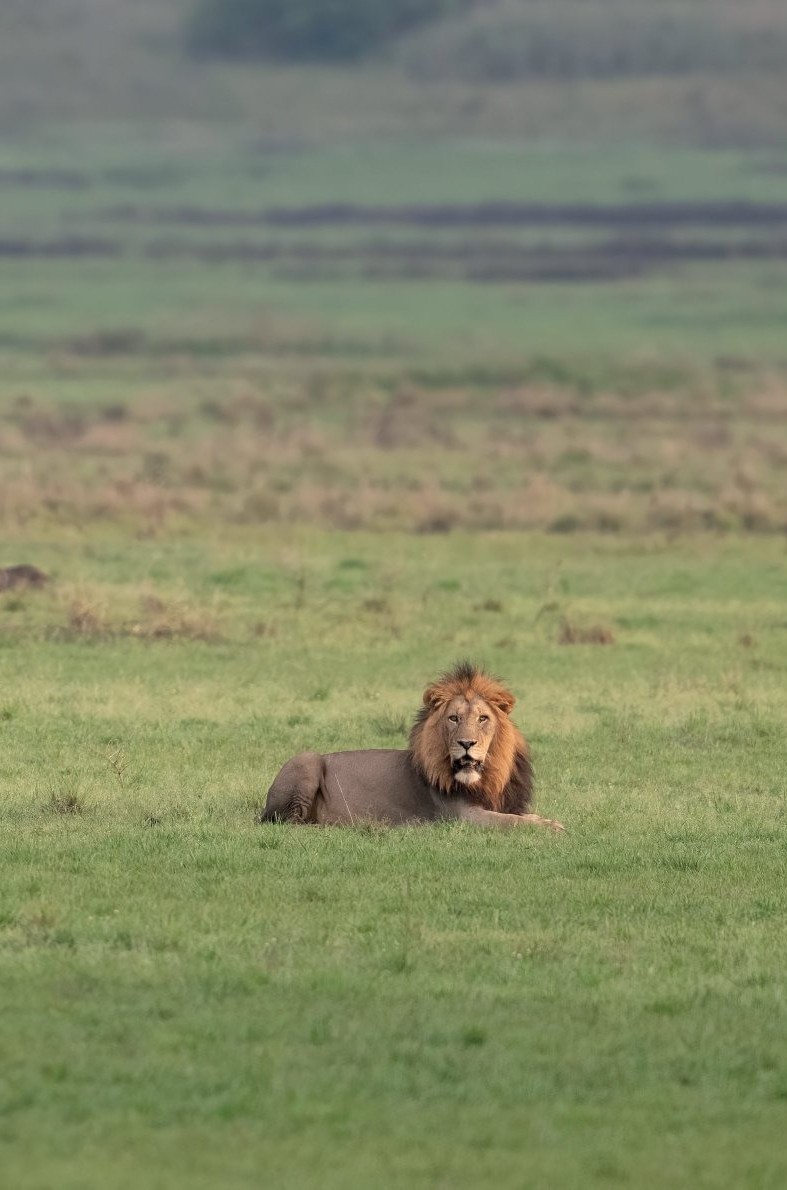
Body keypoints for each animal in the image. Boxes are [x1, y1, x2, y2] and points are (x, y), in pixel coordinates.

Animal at [260, 666, 561, 833]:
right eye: (454, 718)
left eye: (482, 718)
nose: (466, 744)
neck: (487, 777)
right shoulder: (461, 816)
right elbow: (509, 822)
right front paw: (551, 827)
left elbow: (517, 816)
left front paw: (544, 821)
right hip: (306, 760)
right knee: (292, 822)